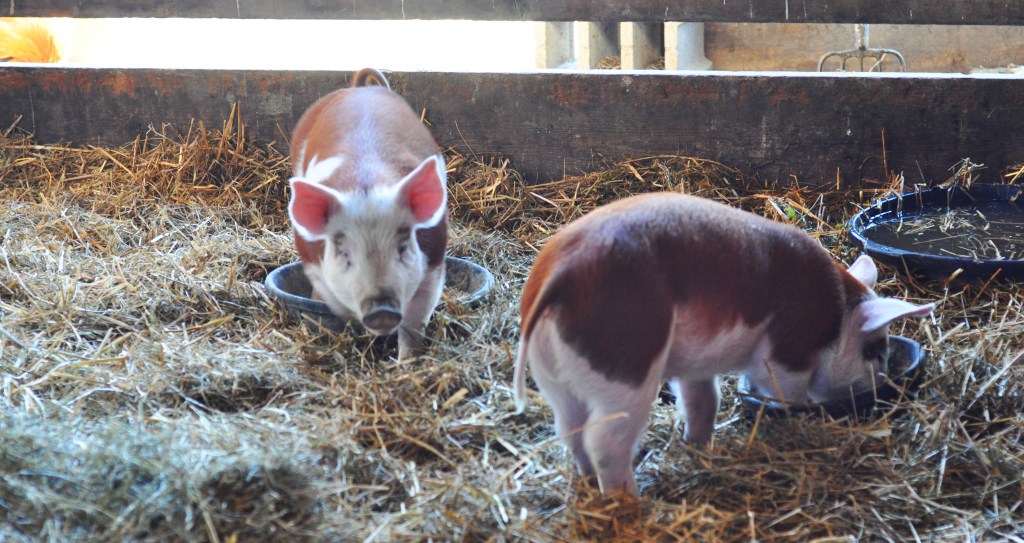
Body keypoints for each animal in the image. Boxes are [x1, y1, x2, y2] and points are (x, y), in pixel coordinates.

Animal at [287, 67, 447, 360]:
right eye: (345, 253)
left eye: (402, 248)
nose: (381, 310)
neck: (366, 183)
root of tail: (359, 89)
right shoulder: (314, 264)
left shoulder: (433, 263)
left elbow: (414, 322)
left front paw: (406, 363)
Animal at [513, 192, 934, 495]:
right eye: (874, 351)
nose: (885, 380)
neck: (836, 317)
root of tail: (562, 277)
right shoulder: (789, 348)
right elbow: (783, 390)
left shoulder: (694, 364)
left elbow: (702, 400)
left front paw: (700, 448)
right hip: (626, 367)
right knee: (605, 440)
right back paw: (630, 500)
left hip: (554, 377)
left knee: (570, 429)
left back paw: (587, 481)